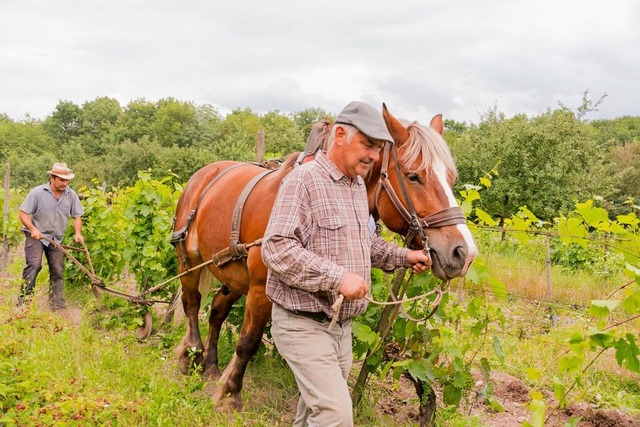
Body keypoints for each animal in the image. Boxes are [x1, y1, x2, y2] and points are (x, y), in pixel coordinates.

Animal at [172, 103, 478, 412]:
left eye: (450, 178)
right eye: (414, 176)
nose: (464, 253)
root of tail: (203, 174)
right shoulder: (259, 289)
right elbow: (248, 342)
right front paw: (231, 394)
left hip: (233, 274)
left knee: (216, 311)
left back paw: (210, 366)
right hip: (188, 259)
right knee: (192, 301)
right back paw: (191, 354)